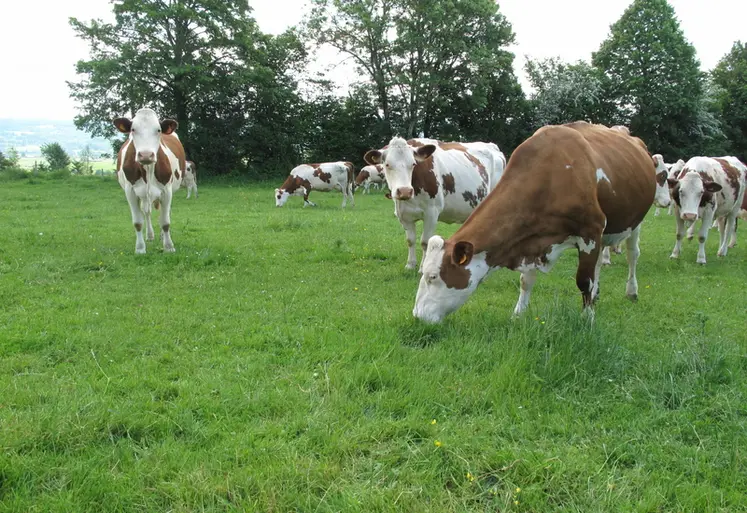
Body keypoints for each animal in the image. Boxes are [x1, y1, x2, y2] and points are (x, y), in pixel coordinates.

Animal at [114, 108, 185, 254]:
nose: (146, 154)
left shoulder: (167, 191)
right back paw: (150, 235)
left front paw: (168, 246)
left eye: (158, 130)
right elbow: (137, 222)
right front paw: (140, 248)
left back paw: (162, 236)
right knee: (147, 212)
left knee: (165, 213)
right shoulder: (130, 192)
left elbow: (165, 221)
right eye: (133, 129)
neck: (147, 169)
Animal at [363, 137, 505, 271]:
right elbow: (410, 240)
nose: (404, 191)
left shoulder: (431, 212)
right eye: (387, 164)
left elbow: (425, 242)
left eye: (413, 164)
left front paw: (422, 268)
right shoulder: (403, 215)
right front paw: (410, 265)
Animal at [411, 122, 656, 324]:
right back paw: (596, 295)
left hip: (634, 222)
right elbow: (526, 280)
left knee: (632, 255)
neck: (552, 175)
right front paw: (518, 314)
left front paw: (587, 319)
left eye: (433, 276)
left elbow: (584, 280)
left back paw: (631, 291)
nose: (417, 316)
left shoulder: (590, 231)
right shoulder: (530, 238)